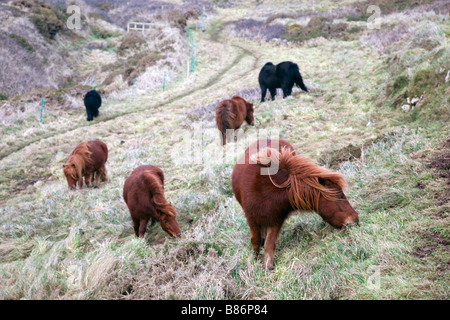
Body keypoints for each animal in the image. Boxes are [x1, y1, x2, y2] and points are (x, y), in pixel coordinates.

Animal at [232, 138, 358, 270]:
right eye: (340, 196)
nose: (356, 220)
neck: (267, 190)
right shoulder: (252, 219)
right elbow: (255, 241)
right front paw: (256, 262)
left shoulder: (276, 220)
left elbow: (269, 244)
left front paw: (267, 267)